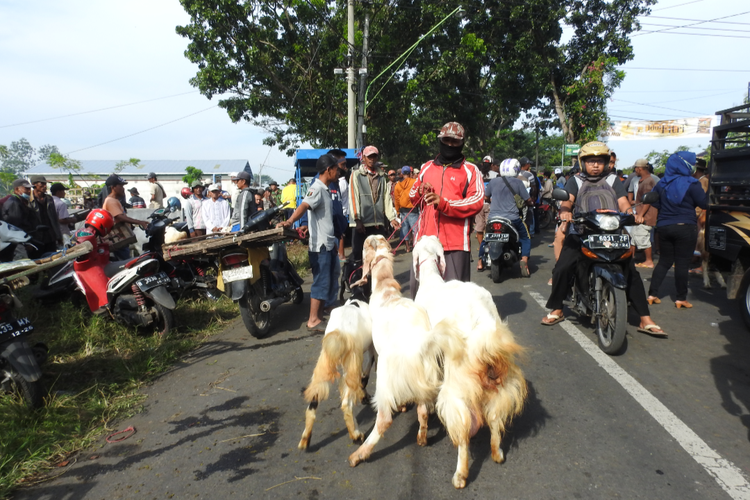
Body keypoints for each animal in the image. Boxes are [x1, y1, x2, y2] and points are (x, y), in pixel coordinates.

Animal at [300, 298, 376, 452]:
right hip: (351, 360)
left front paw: (363, 396)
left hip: (325, 363)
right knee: (346, 404)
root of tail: (339, 333)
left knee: (313, 402)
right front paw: (364, 396)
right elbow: (365, 375)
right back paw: (356, 435)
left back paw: (305, 439)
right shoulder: (369, 349)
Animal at [350, 234, 468, 468]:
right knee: (422, 411)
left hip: (386, 378)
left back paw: (359, 454)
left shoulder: (375, 349)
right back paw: (421, 438)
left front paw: (363, 381)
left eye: (365, 245)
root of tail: (419, 343)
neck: (385, 290)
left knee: (384, 419)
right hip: (425, 375)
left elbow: (370, 361)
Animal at [412, 236, 528, 490]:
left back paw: (460, 475)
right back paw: (497, 454)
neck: (431, 280)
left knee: (463, 432)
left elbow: (423, 408)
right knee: (494, 419)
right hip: (501, 383)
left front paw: (422, 437)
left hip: (458, 386)